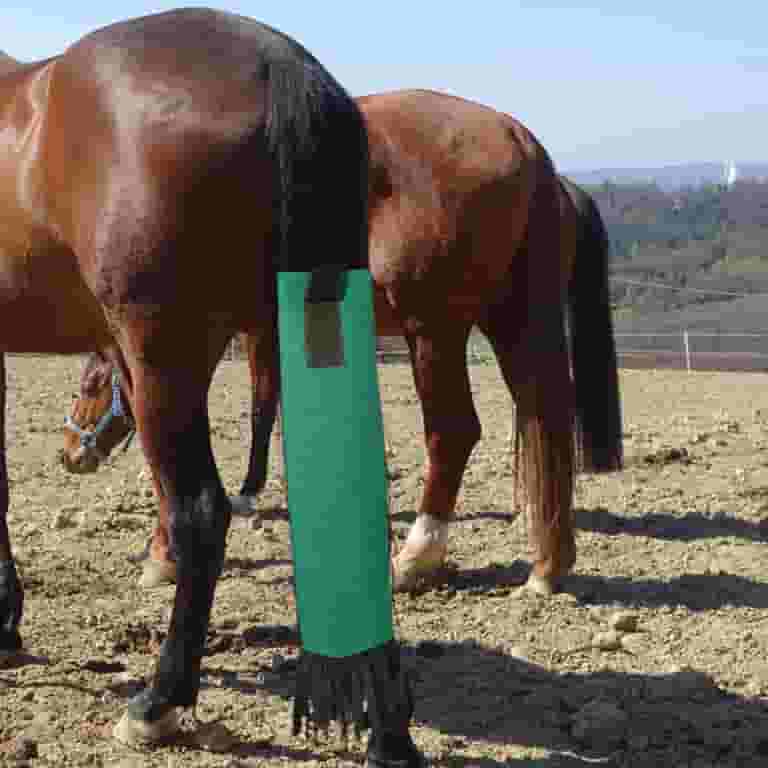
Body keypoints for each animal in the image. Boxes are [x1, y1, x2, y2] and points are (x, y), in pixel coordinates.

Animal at [0, 10, 424, 762]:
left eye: (89, 383)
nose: (69, 454)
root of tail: (280, 65)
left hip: (165, 357)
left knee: (200, 511)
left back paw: (157, 704)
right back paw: (389, 733)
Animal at [62, 89, 624, 596]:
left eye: (90, 386)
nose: (69, 454)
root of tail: (519, 139)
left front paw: (169, 550)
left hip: (435, 332)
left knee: (455, 432)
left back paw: (414, 559)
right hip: (515, 322)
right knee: (545, 417)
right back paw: (547, 565)